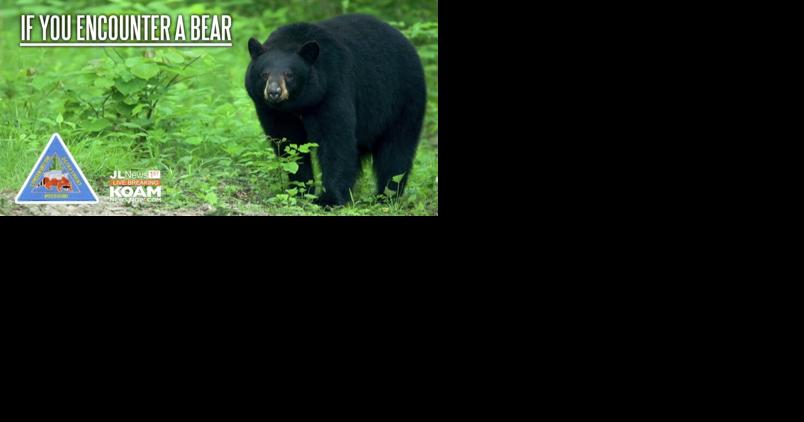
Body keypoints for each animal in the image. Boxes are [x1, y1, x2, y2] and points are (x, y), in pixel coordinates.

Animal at [245, 13, 427, 206]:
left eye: (289, 75)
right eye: (264, 74)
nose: (274, 92)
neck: (299, 104)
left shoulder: (332, 88)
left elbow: (336, 140)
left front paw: (329, 199)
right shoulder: (274, 112)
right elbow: (289, 144)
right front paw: (300, 191)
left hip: (403, 102)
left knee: (396, 153)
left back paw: (385, 197)